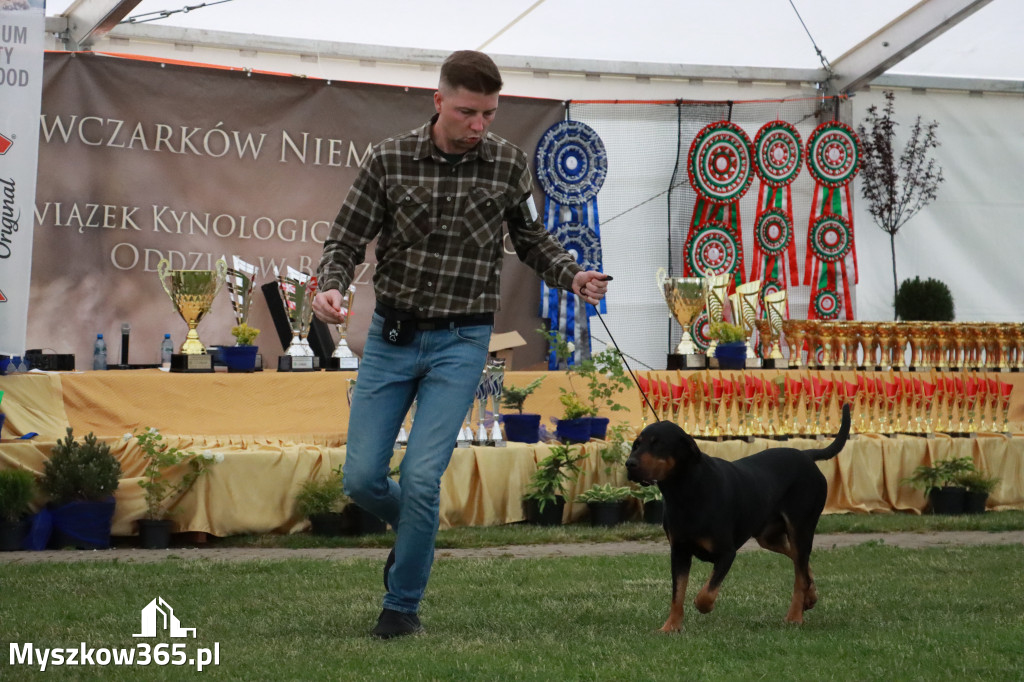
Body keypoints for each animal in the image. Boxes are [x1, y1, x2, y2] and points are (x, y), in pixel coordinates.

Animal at [626, 401, 851, 630]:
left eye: (657, 444)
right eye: (637, 444)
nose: (629, 464)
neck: (686, 490)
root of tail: (807, 456)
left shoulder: (727, 552)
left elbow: (706, 594)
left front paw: (701, 606)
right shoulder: (679, 551)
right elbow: (677, 594)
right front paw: (670, 627)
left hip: (801, 527)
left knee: (800, 574)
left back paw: (795, 617)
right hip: (768, 536)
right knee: (800, 563)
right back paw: (811, 597)